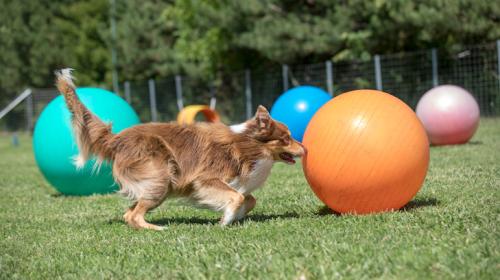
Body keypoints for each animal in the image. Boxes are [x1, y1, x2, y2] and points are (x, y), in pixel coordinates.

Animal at [54, 68, 304, 230]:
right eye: (286, 138)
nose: (306, 148)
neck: (248, 145)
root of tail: (116, 139)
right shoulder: (206, 179)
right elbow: (237, 197)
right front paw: (225, 221)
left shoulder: (236, 183)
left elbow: (249, 199)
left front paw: (234, 217)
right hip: (160, 177)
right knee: (134, 215)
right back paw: (157, 229)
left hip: (155, 183)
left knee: (128, 213)